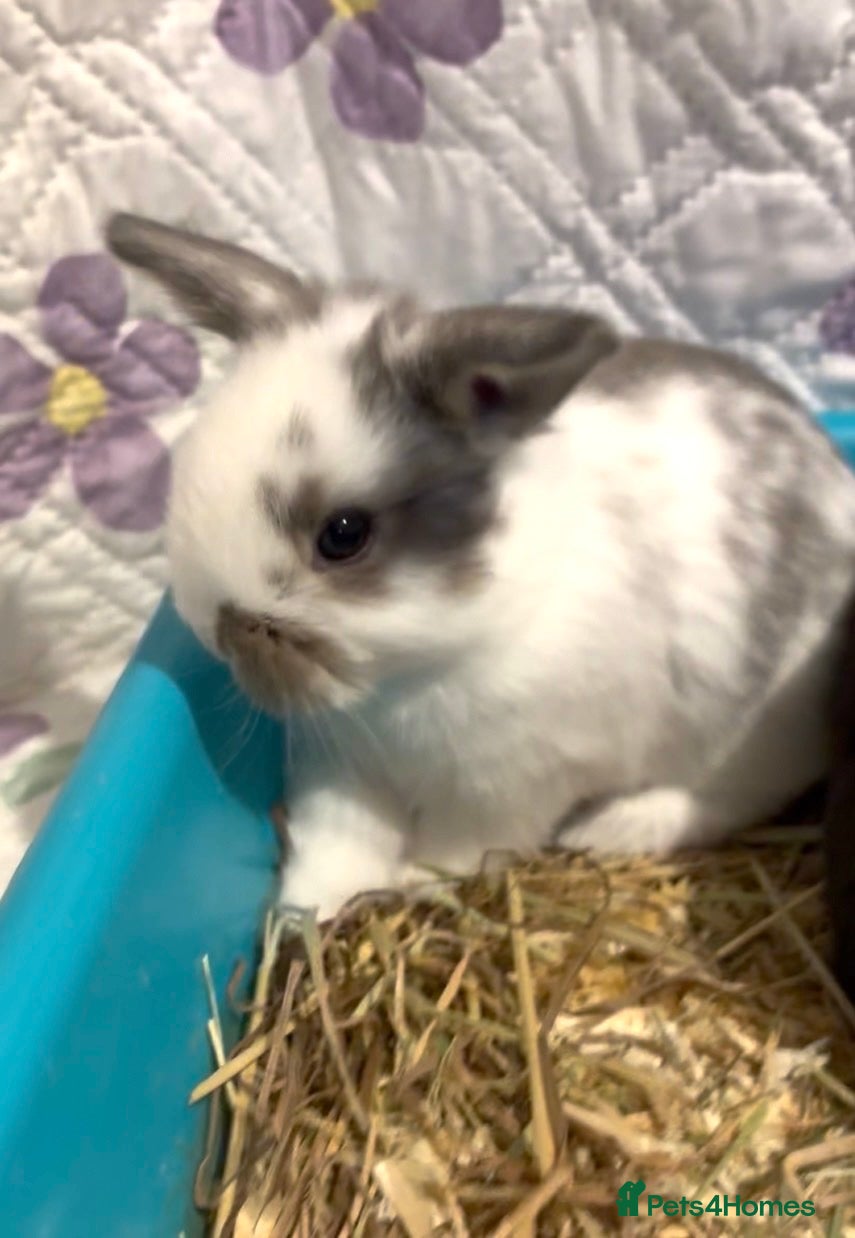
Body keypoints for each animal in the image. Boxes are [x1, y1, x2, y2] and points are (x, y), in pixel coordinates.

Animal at [107, 213, 855, 922]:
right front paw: (308, 909)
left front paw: (415, 883)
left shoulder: (510, 785)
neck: (417, 671)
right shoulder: (340, 765)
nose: (219, 630)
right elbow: (335, 838)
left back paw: (608, 828)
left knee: (720, 799)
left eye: (343, 535)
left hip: (752, 739)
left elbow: (462, 846)